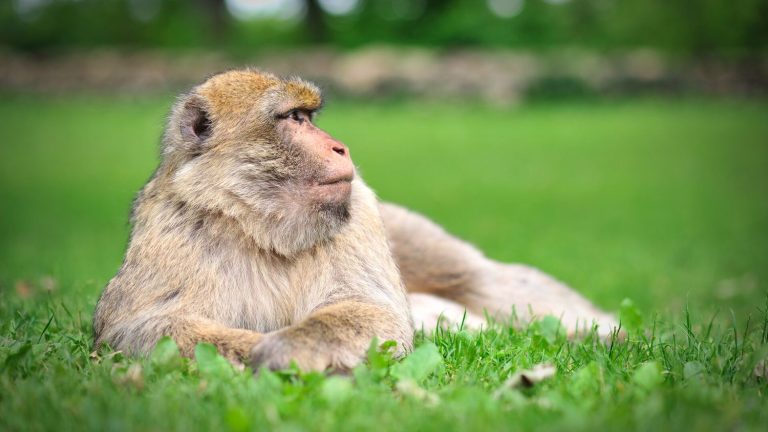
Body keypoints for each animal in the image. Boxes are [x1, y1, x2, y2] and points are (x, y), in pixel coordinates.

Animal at [90, 69, 616, 372]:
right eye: (294, 119)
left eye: (310, 116)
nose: (339, 146)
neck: (263, 226)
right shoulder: (169, 230)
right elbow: (140, 326)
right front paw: (248, 350)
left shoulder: (360, 213)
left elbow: (372, 308)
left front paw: (280, 349)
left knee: (478, 277)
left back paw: (605, 332)